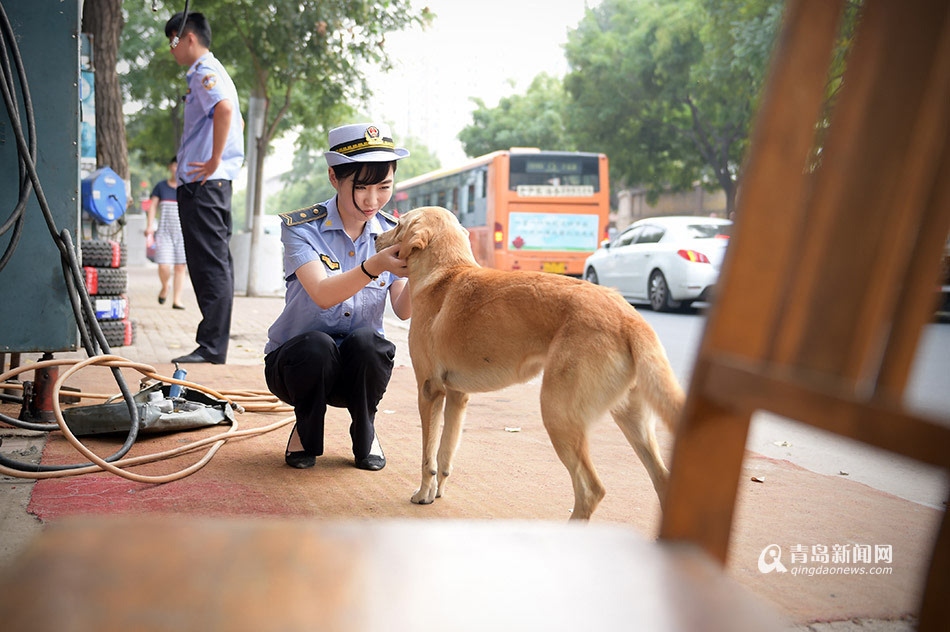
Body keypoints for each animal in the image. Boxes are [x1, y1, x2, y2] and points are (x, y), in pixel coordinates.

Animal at [378, 207, 684, 520]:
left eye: (399, 224)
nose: (376, 237)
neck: (446, 273)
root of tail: (629, 317)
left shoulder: (429, 391)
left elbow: (428, 456)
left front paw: (424, 493)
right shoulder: (457, 395)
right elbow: (445, 453)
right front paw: (438, 491)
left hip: (558, 413)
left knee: (591, 489)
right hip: (632, 420)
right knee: (661, 479)